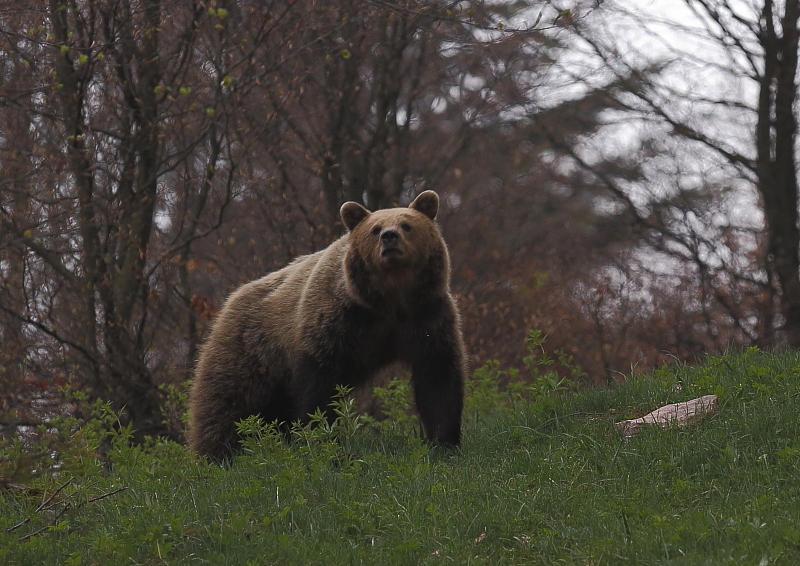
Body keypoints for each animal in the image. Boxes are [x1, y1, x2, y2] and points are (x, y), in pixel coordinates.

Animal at [187, 191, 466, 462]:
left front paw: (444, 443)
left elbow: (438, 379)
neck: (390, 301)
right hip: (252, 349)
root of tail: (229, 302)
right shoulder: (336, 321)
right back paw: (217, 456)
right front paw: (326, 442)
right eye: (375, 229)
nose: (389, 236)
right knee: (227, 403)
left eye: (407, 225)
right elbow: (318, 385)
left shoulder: (426, 317)